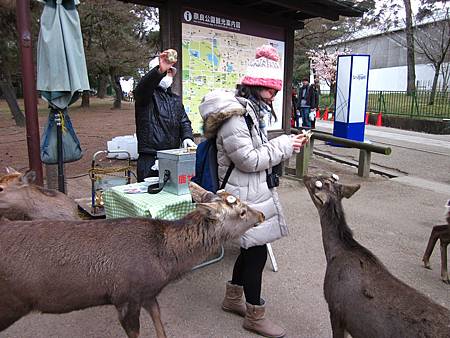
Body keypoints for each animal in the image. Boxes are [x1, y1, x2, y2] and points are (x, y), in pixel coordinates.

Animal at [0, 182, 264, 338]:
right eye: (241, 211)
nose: (261, 214)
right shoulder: (126, 297)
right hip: (9, 304)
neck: (167, 263)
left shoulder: (148, 293)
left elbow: (160, 326)